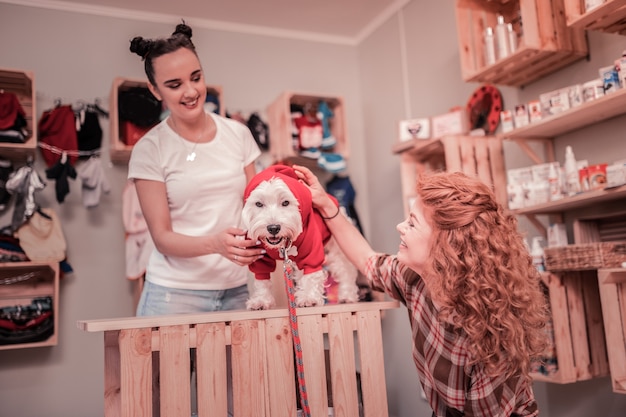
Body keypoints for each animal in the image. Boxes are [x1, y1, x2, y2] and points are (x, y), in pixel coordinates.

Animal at [240, 165, 356, 308]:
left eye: (285, 202)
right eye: (258, 204)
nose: (273, 228)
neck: (282, 246)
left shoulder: (311, 250)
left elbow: (311, 272)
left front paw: (309, 297)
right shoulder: (259, 256)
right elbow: (261, 279)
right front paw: (261, 300)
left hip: (338, 247)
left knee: (345, 270)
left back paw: (347, 296)